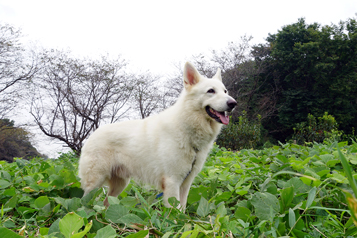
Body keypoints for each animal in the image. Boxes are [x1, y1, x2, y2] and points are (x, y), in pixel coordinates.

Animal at [79, 62, 238, 209]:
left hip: (120, 183)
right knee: (84, 202)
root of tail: (93, 134)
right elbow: (175, 211)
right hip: (95, 183)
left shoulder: (185, 183)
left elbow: (183, 209)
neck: (186, 127)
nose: (233, 103)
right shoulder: (172, 182)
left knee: (107, 203)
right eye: (211, 91)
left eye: (225, 91)